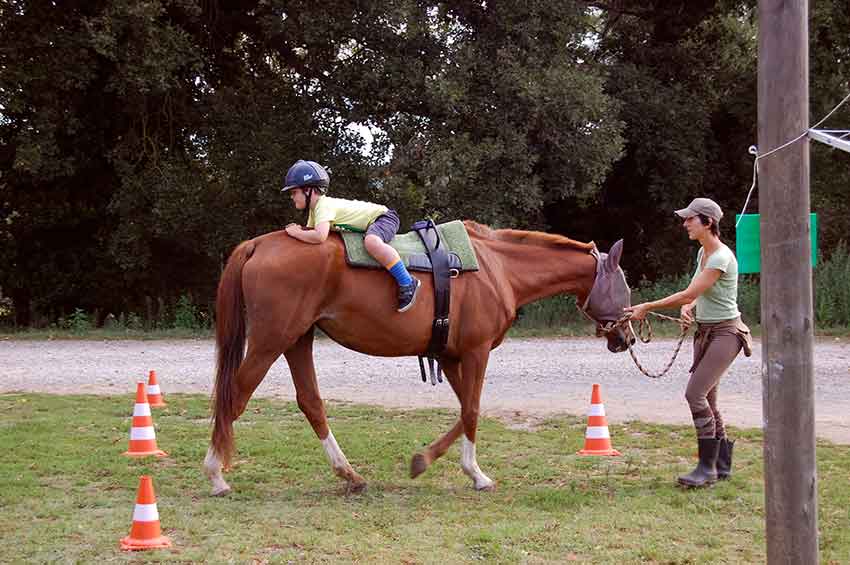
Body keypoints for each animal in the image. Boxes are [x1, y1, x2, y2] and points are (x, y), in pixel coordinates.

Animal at [204, 220, 628, 494]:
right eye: (623, 286)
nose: (626, 336)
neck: (498, 268)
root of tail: (259, 244)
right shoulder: (475, 352)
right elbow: (473, 410)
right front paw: (473, 473)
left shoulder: (453, 357)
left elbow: (466, 409)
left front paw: (433, 462)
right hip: (270, 341)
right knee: (234, 396)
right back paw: (216, 475)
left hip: (296, 340)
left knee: (310, 402)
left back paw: (350, 475)